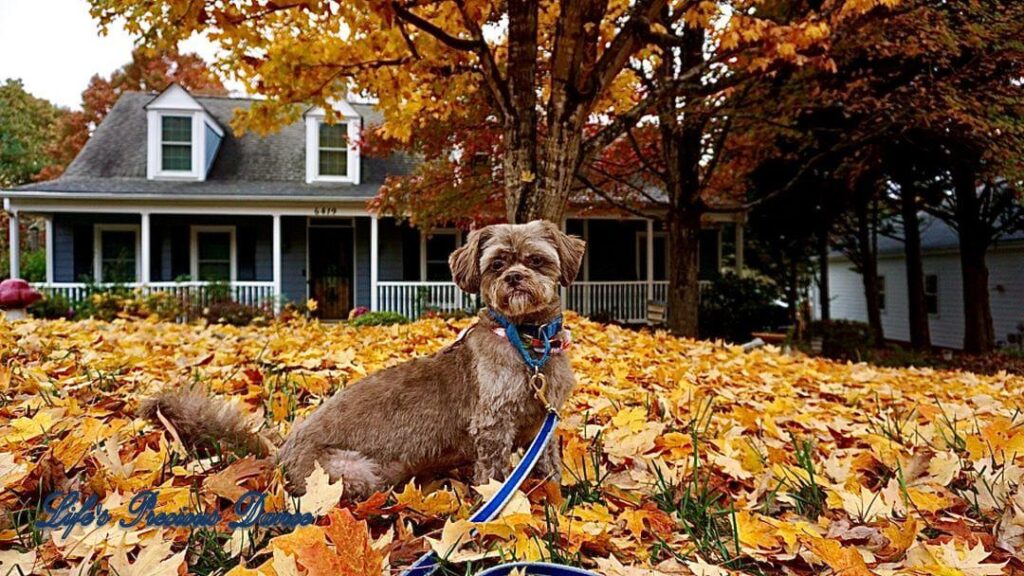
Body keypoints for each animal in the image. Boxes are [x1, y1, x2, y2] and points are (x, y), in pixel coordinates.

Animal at [140, 217, 585, 496]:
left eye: (536, 260)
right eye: (496, 265)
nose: (514, 278)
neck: (528, 342)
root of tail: (281, 452)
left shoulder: (544, 423)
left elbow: (548, 463)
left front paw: (558, 495)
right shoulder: (492, 425)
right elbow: (494, 476)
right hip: (351, 471)